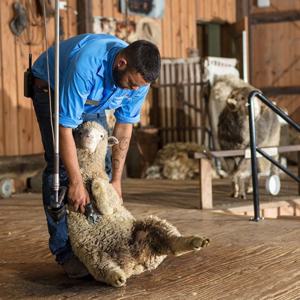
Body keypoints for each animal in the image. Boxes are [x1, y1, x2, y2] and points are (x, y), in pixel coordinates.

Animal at [67, 122, 210, 288]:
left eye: (102, 136)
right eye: (79, 132)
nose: (88, 137)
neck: (89, 172)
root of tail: (134, 263)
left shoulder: (113, 199)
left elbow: (103, 197)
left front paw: (97, 188)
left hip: (148, 228)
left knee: (172, 242)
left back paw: (195, 242)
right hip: (91, 253)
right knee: (103, 267)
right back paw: (117, 277)